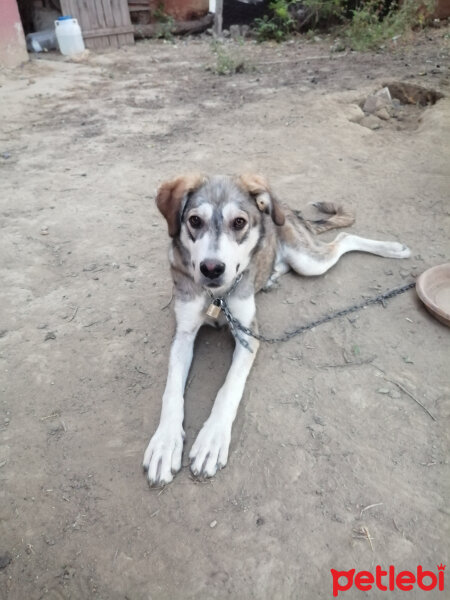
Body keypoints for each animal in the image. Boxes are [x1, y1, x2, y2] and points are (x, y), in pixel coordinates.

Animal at [142, 171, 410, 486]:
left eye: (239, 222)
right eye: (195, 220)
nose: (211, 269)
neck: (217, 296)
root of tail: (290, 212)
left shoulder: (247, 334)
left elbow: (228, 389)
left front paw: (212, 440)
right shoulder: (183, 333)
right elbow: (171, 391)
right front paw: (164, 444)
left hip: (308, 261)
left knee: (343, 239)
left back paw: (392, 249)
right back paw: (270, 277)